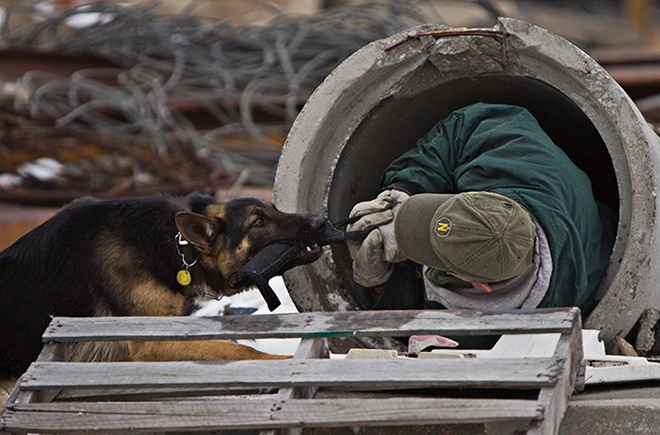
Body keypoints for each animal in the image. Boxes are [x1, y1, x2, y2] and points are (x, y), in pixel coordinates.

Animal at [0, 194, 340, 406]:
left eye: (274, 210)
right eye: (258, 222)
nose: (321, 222)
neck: (179, 246)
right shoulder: (153, 343)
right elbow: (236, 348)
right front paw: (281, 363)